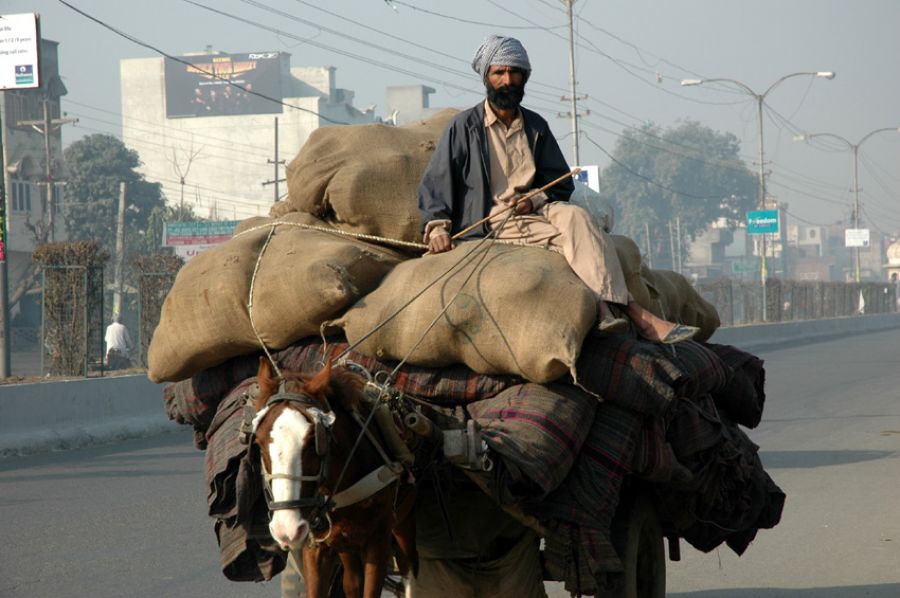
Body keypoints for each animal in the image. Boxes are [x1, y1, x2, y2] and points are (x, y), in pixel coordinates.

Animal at [250, 358, 418, 596]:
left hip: (403, 519)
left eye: (314, 443)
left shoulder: (379, 541)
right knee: (352, 581)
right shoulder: (316, 545)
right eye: (258, 443)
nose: (286, 529)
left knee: (409, 567)